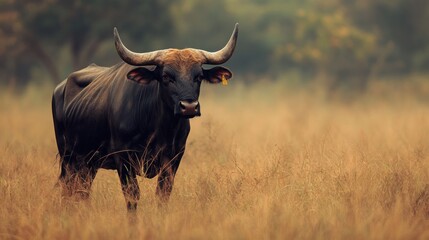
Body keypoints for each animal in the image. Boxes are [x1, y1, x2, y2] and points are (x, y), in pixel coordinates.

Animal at [52, 23, 239, 210]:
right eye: (166, 76)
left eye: (198, 76)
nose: (189, 107)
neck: (159, 129)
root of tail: (60, 88)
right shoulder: (123, 159)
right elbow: (132, 195)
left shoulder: (174, 159)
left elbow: (163, 195)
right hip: (68, 157)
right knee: (67, 188)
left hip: (88, 162)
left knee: (82, 190)